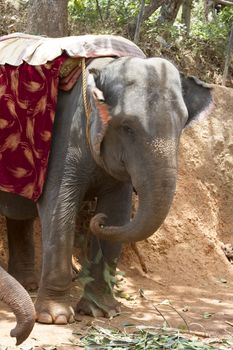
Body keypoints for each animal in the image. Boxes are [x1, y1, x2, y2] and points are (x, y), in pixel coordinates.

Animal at [0, 55, 212, 326]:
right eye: (127, 127)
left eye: (182, 124)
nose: (96, 220)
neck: (107, 65)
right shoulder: (65, 136)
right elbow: (59, 207)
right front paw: (55, 317)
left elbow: (117, 212)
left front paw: (101, 312)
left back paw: (27, 285)